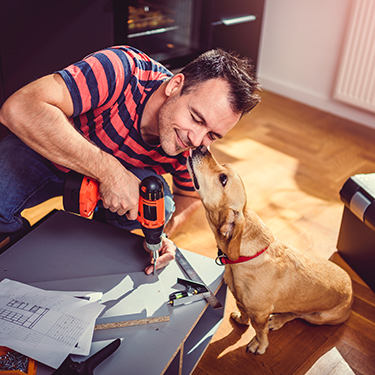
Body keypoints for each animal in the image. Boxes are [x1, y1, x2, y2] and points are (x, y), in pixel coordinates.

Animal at [188, 145, 356, 356]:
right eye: (223, 166)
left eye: (223, 178)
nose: (201, 146)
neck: (243, 257)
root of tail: (351, 291)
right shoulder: (241, 300)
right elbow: (244, 313)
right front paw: (242, 320)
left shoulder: (259, 313)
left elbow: (259, 330)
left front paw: (259, 345)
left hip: (318, 318)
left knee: (297, 314)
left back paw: (277, 319)